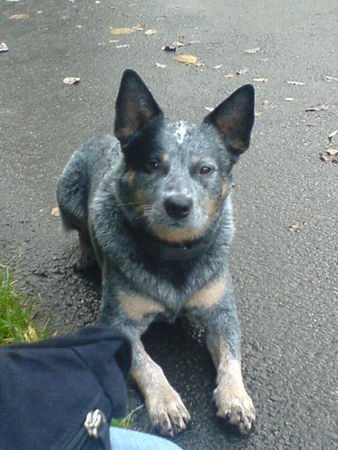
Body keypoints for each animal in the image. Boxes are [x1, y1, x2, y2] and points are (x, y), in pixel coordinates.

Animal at [56, 69, 256, 436]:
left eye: (205, 169)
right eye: (151, 164)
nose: (178, 204)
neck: (173, 256)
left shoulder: (222, 314)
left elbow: (231, 357)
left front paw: (236, 398)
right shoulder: (116, 323)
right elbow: (148, 364)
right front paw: (166, 402)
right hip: (67, 194)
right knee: (80, 228)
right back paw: (86, 253)